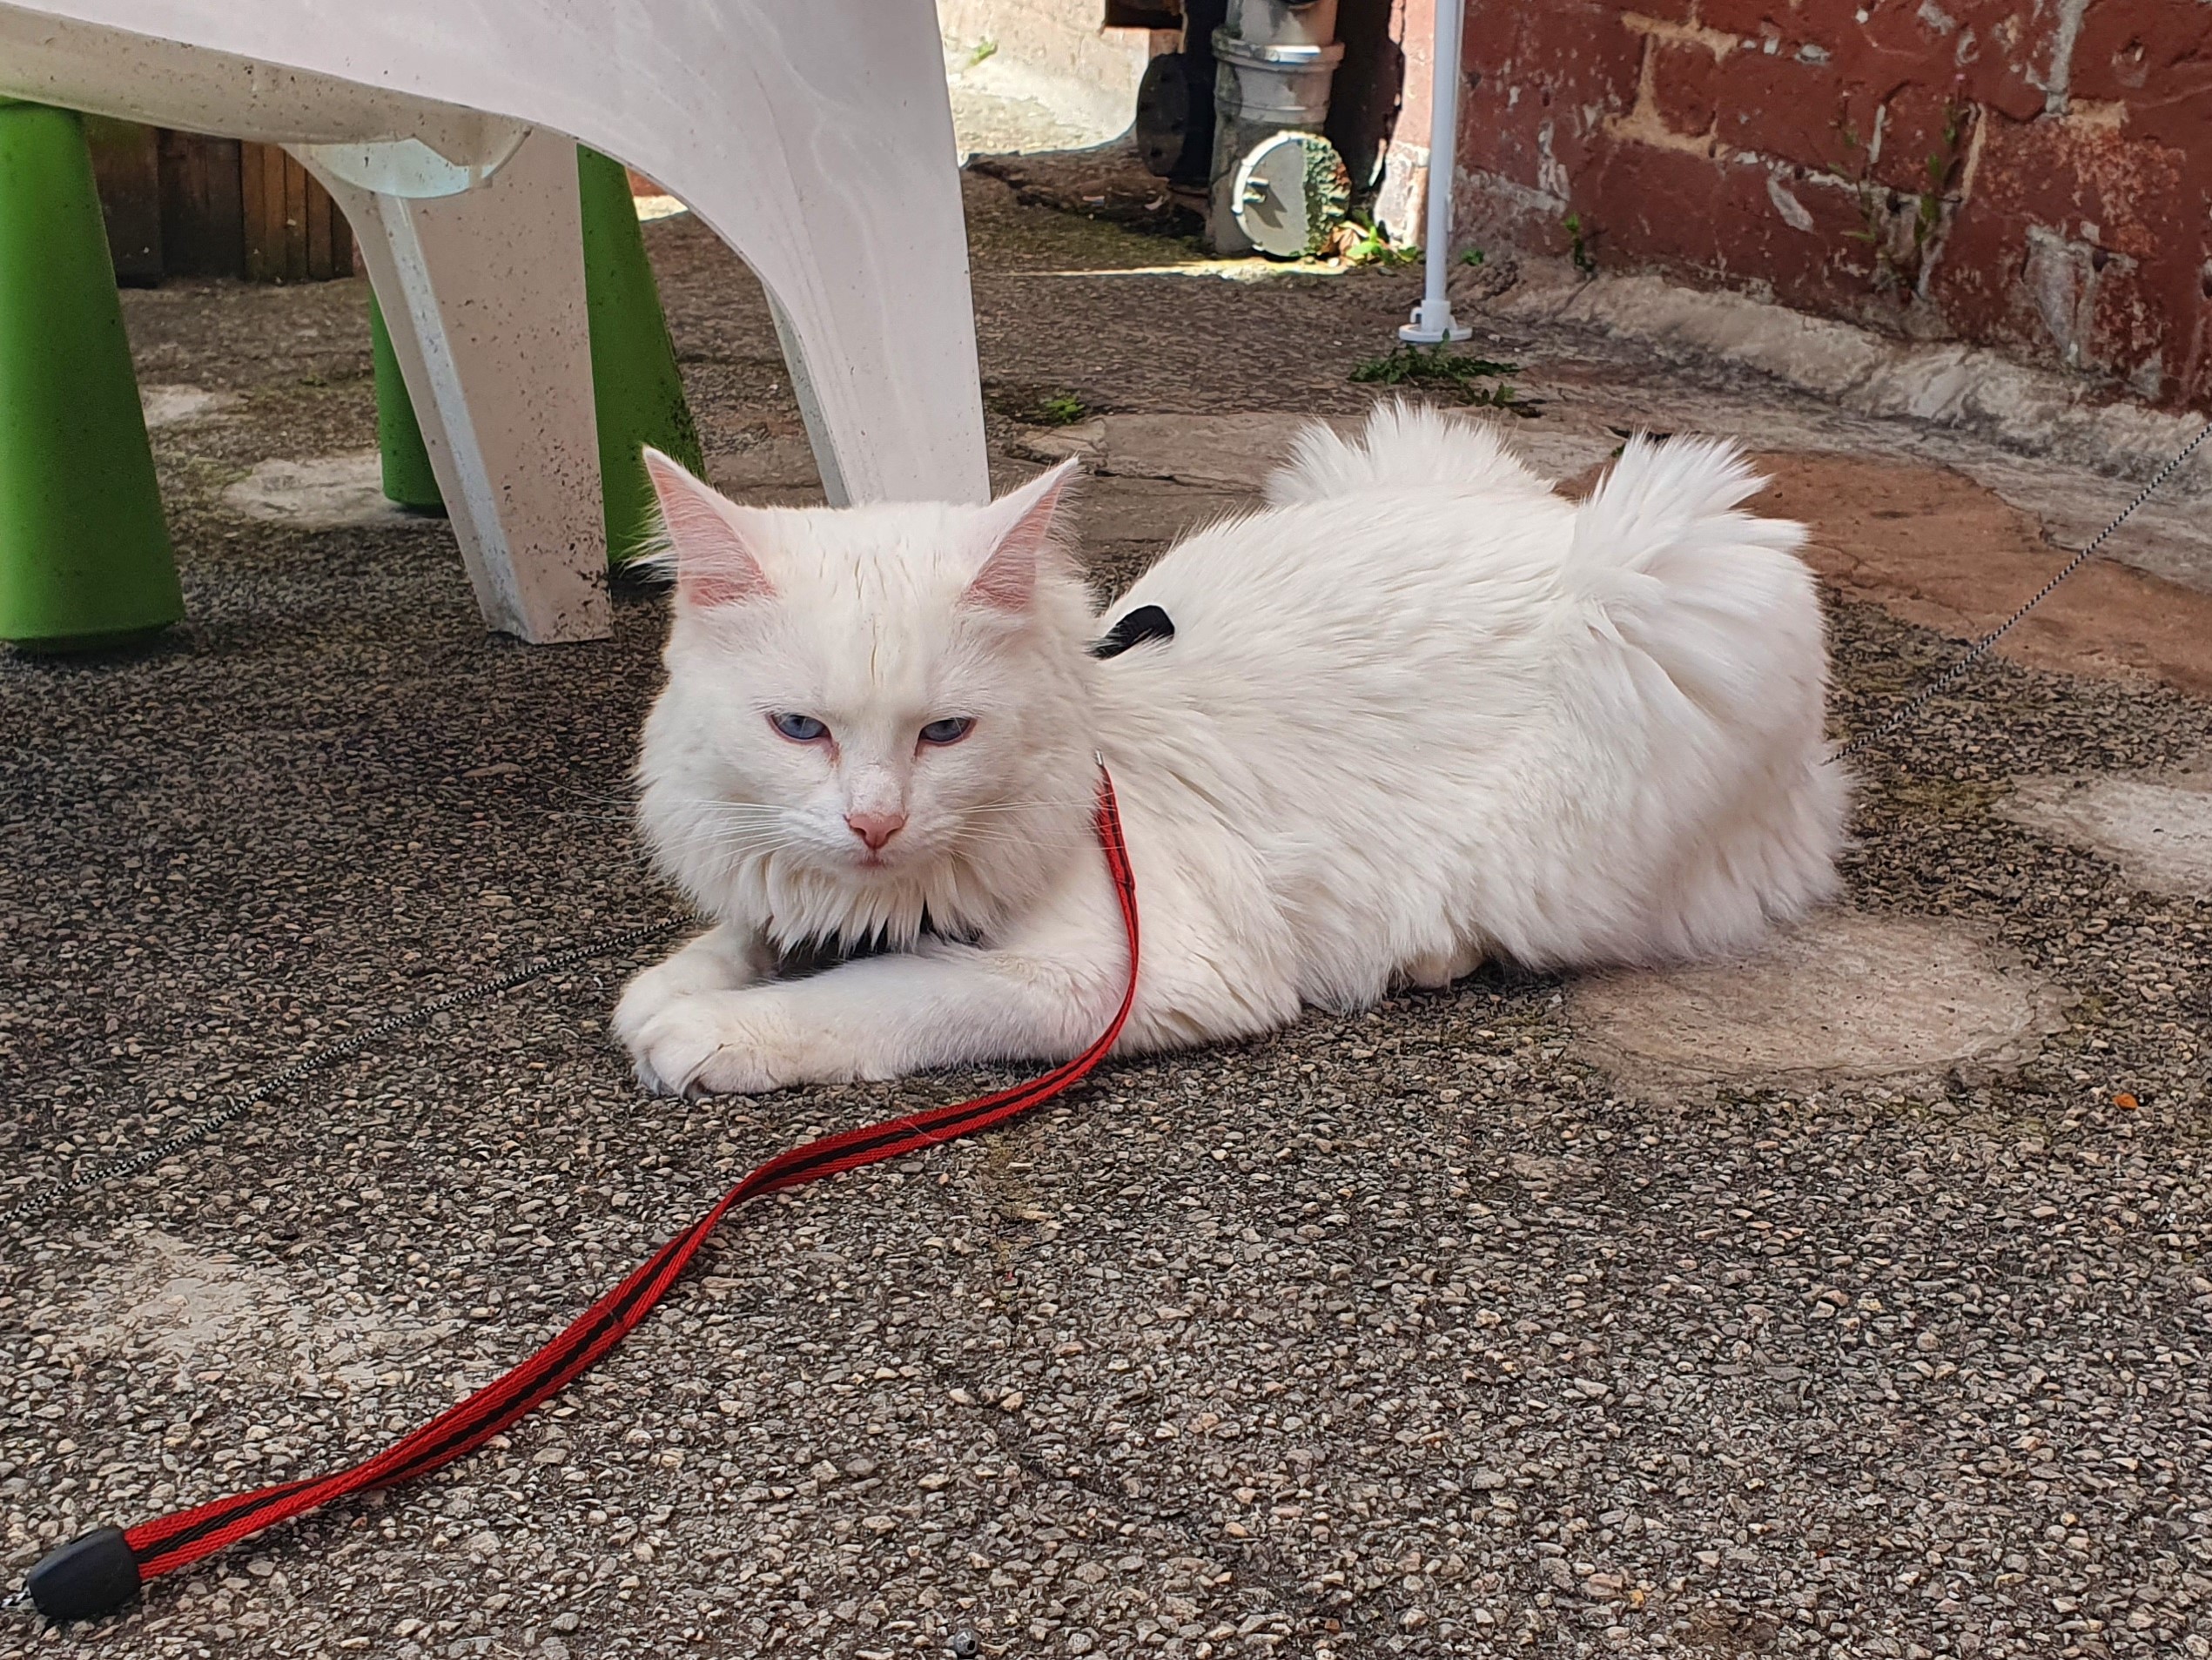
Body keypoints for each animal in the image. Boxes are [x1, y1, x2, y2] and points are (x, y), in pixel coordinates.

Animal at [615, 405, 1840, 1098]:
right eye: (800, 729)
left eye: (945, 731)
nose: (876, 821)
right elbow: (752, 936)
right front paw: (681, 984)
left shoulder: (1127, 969)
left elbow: (895, 994)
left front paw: (718, 1030)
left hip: (1663, 600)